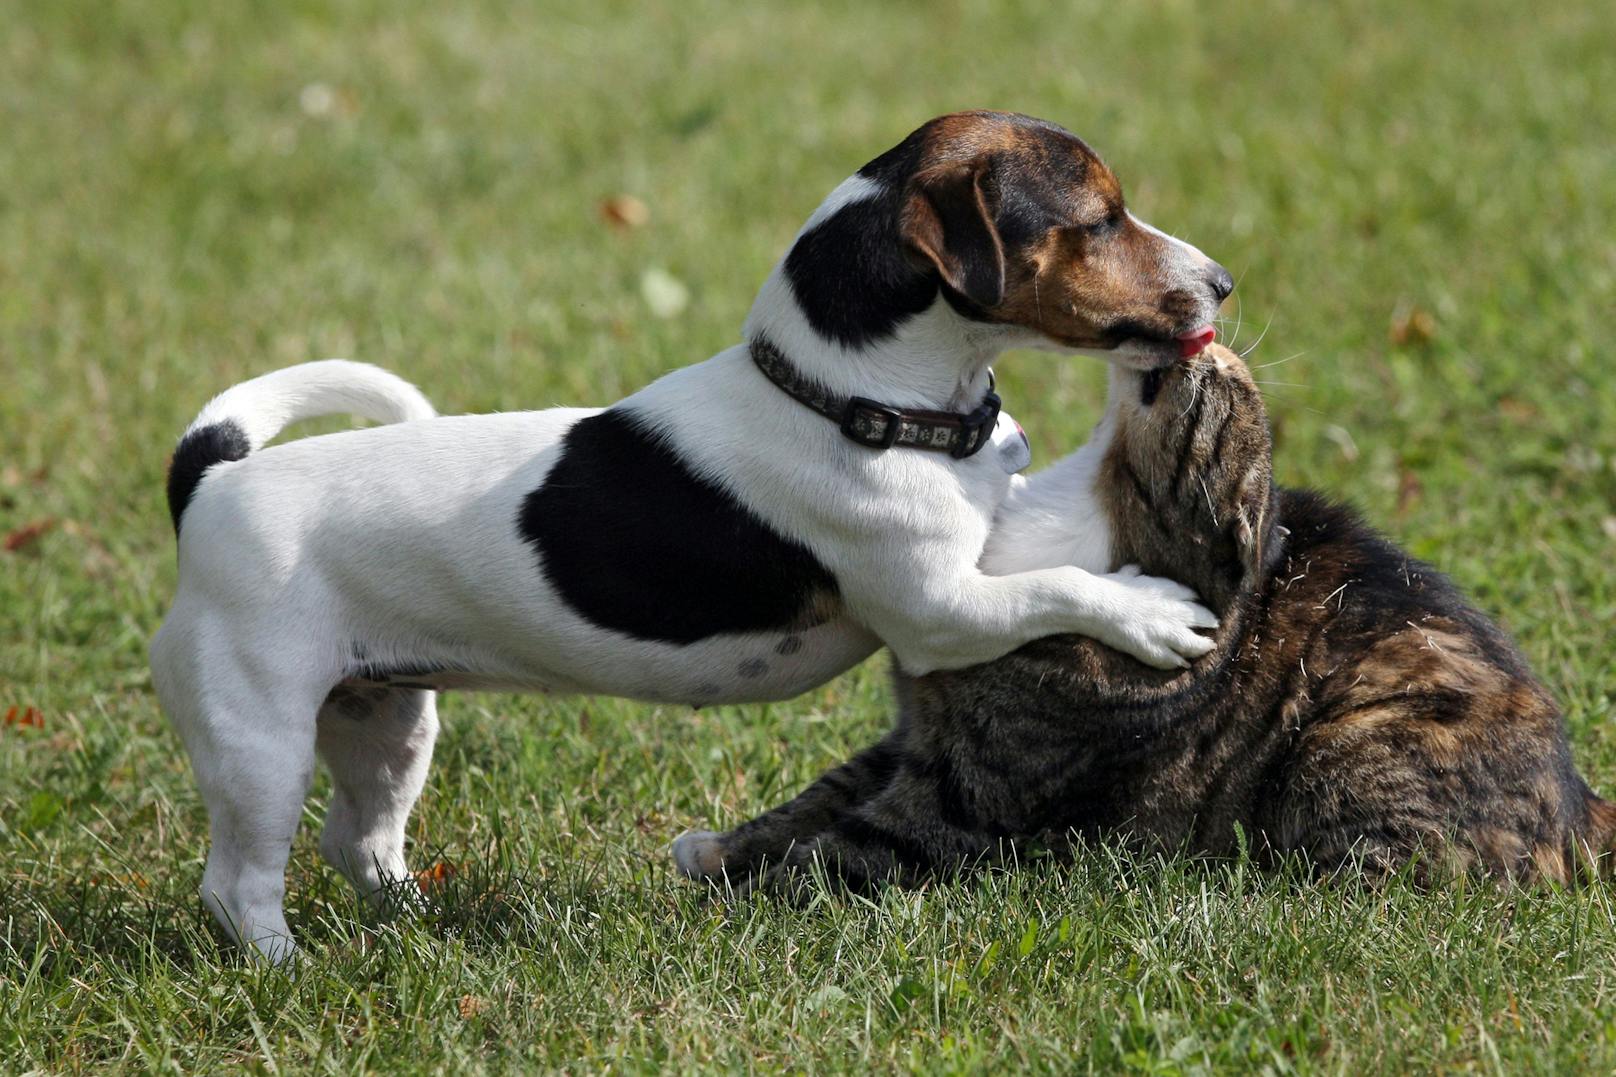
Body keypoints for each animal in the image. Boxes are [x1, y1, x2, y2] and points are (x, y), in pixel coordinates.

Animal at [154, 110, 1234, 957]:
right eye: (1098, 220)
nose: (1222, 281)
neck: (852, 401)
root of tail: (210, 482)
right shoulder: (942, 613)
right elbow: (1059, 587)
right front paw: (1147, 612)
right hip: (261, 740)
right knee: (239, 882)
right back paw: (287, 965)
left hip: (386, 716)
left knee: (360, 841)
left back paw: (422, 925)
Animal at [672, 344, 1616, 886]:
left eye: (1222, 401)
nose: (1214, 337)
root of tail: (1586, 809)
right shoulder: (917, 731)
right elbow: (816, 796)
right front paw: (718, 850)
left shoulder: (968, 793)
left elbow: (836, 854)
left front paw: (716, 908)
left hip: (1340, 754)